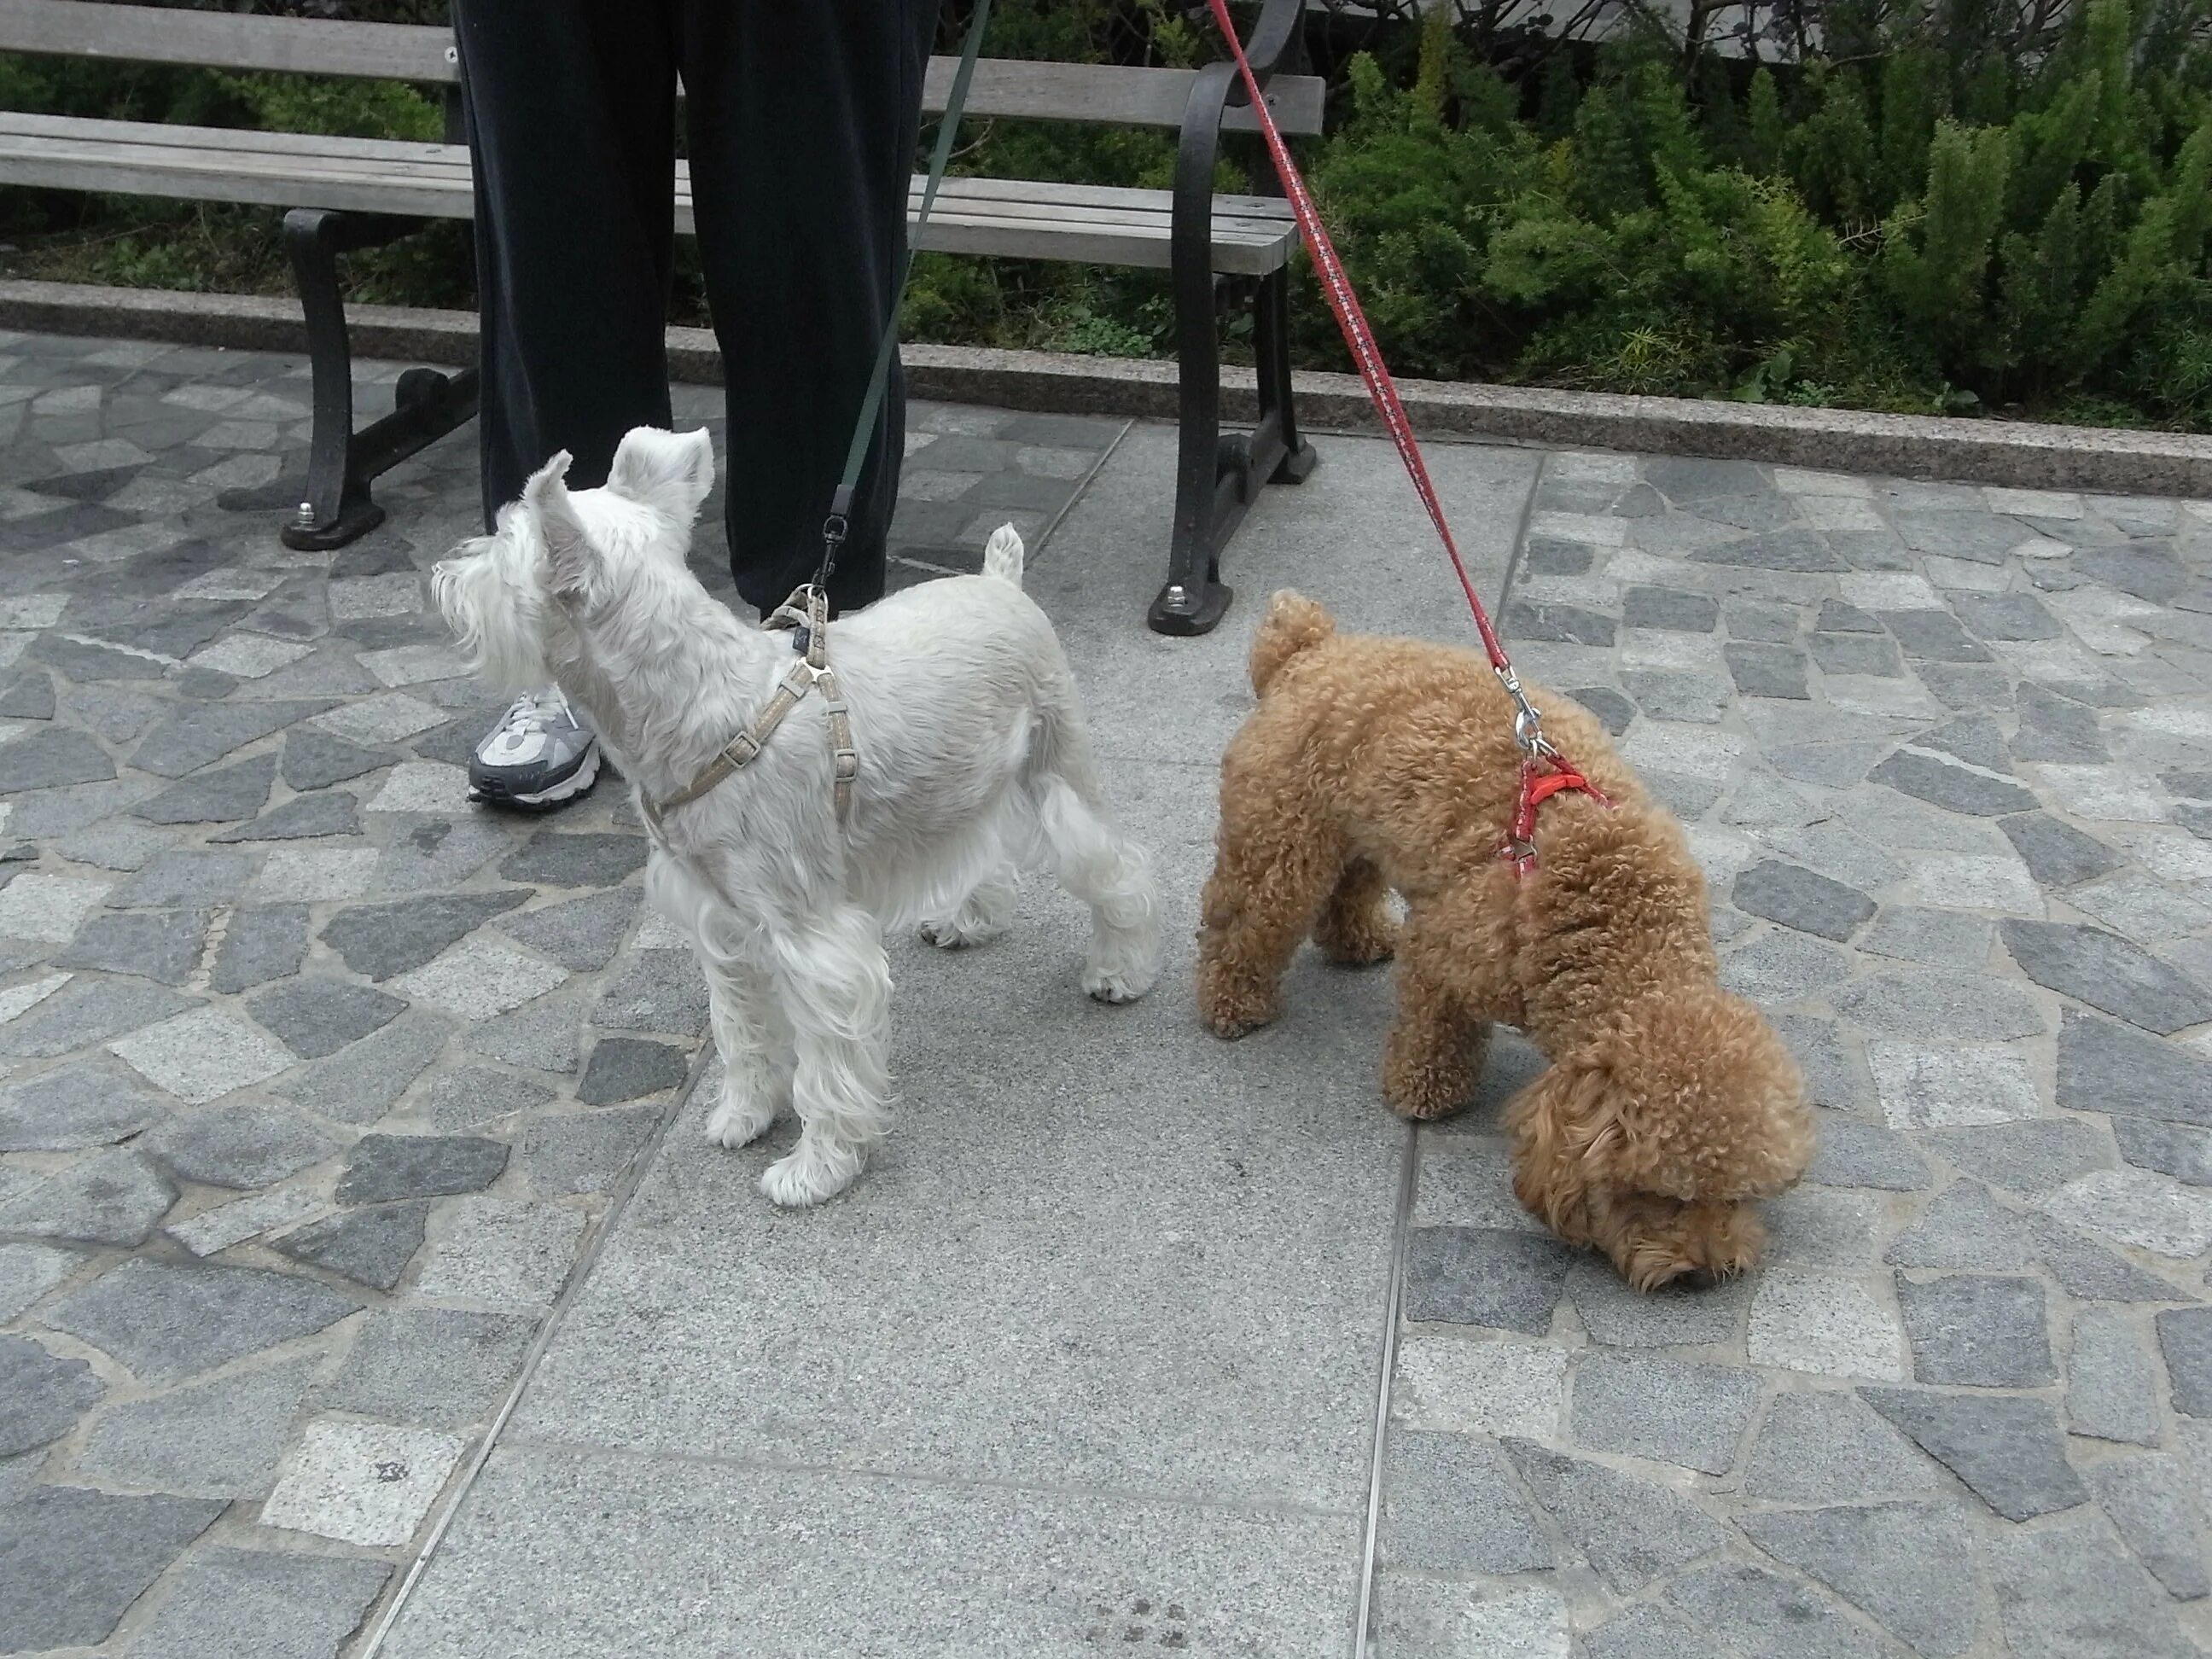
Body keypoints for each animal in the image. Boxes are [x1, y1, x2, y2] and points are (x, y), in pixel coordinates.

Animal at [428, 428, 1159, 1212]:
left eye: (504, 543)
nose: (444, 574)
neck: (699, 708)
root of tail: (1002, 582)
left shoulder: (814, 940)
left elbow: (828, 1067)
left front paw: (818, 1168)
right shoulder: (724, 924)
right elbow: (742, 1032)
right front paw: (746, 1114)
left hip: (1059, 777)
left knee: (1119, 868)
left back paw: (1119, 970)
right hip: (965, 782)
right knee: (985, 849)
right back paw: (970, 918)